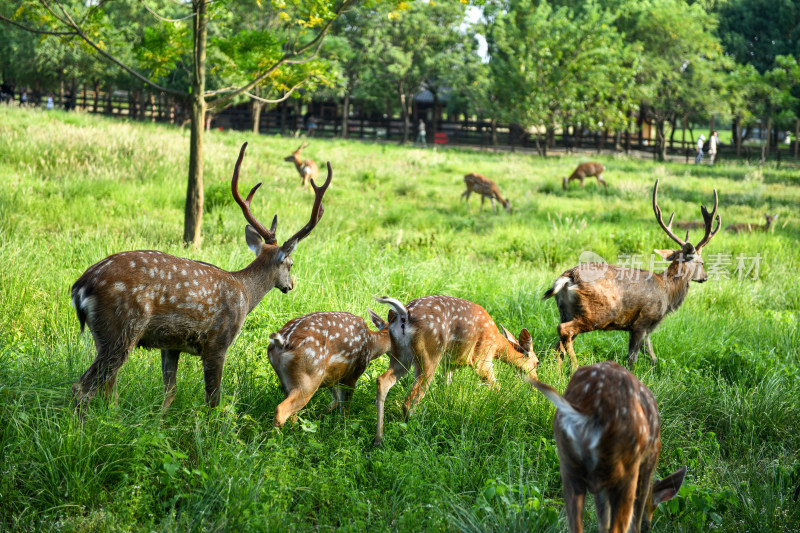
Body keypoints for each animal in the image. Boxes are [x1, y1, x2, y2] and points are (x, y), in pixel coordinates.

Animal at [70, 143, 330, 410]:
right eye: (290, 263)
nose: (290, 285)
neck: (246, 294)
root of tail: (80, 287)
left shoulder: (170, 345)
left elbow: (169, 392)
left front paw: (161, 419)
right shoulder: (218, 341)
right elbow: (213, 397)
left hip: (105, 336)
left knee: (107, 386)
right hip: (122, 327)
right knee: (83, 387)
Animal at [374, 296, 536, 444]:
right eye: (537, 363)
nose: (535, 383)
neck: (497, 344)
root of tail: (405, 314)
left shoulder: (448, 363)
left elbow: (446, 385)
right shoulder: (482, 359)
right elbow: (497, 387)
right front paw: (508, 408)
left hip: (400, 356)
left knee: (383, 380)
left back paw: (379, 440)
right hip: (430, 354)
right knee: (409, 401)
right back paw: (413, 431)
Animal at [532, 362, 688, 532]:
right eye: (647, 526)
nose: (648, 525)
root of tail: (588, 413)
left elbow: (603, 520)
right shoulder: (649, 461)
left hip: (568, 465)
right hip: (626, 470)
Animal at [544, 181, 724, 368]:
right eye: (701, 262)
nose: (705, 277)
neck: (667, 292)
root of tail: (568, 277)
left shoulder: (647, 329)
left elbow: (652, 356)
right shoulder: (642, 321)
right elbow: (632, 358)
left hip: (565, 309)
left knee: (559, 342)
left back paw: (557, 370)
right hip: (597, 313)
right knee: (564, 330)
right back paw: (575, 366)